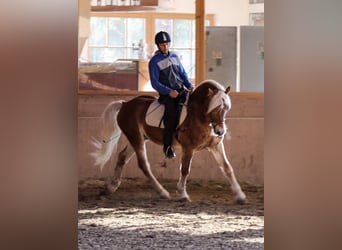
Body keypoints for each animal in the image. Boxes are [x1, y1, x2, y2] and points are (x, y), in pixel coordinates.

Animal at [91, 79, 246, 204]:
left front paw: (240, 196)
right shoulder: (188, 147)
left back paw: (110, 188)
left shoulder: (215, 146)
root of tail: (125, 104)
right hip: (135, 137)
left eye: (226, 109)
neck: (198, 116)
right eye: (215, 109)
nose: (220, 131)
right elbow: (185, 170)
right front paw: (183, 194)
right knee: (143, 164)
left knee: (122, 156)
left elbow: (227, 168)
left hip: (137, 137)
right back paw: (162, 192)